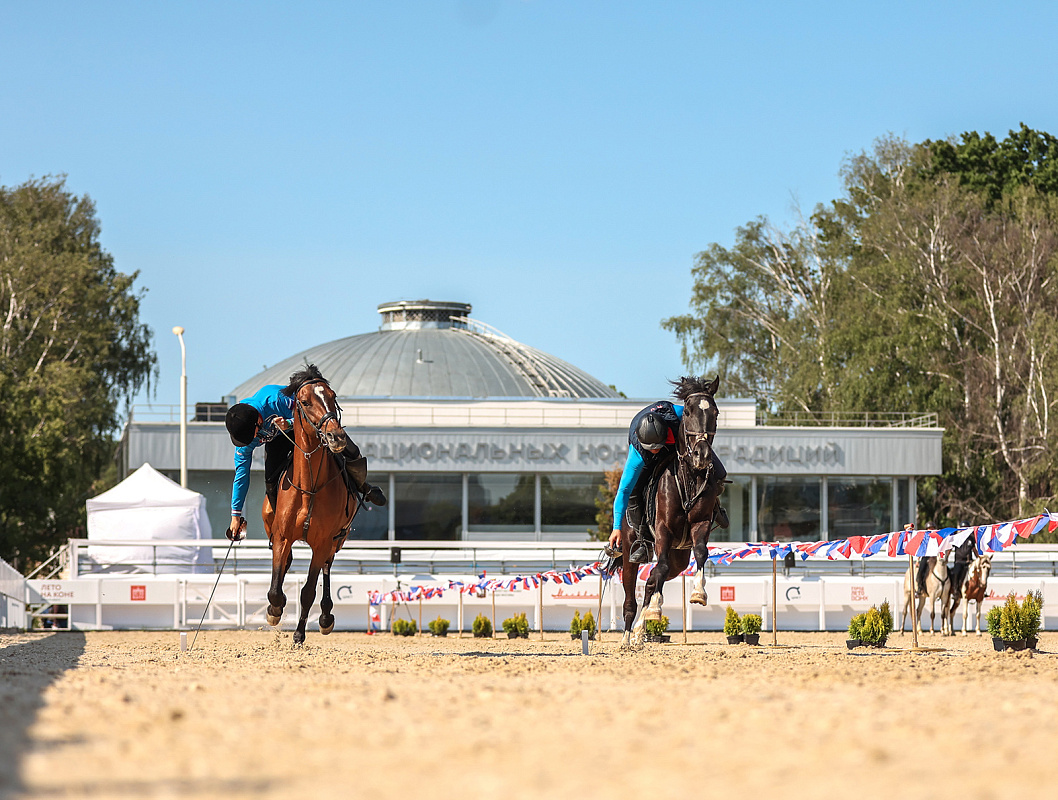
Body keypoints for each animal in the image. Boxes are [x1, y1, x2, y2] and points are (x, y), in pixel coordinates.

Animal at [264, 366, 359, 647]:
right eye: (305, 402)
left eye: (333, 396)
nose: (337, 437)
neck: (310, 489)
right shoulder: (282, 537)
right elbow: (275, 589)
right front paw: (275, 610)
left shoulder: (322, 543)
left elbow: (308, 591)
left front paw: (299, 634)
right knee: (284, 567)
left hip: (337, 540)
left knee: (327, 568)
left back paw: (326, 617)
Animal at [617, 378, 723, 647]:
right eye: (688, 412)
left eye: (715, 413)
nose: (701, 455)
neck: (689, 479)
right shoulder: (663, 530)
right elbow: (659, 568)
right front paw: (655, 610)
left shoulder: (701, 524)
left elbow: (701, 553)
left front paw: (698, 593)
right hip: (630, 551)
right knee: (632, 595)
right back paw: (627, 637)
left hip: (679, 557)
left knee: (654, 578)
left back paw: (640, 630)